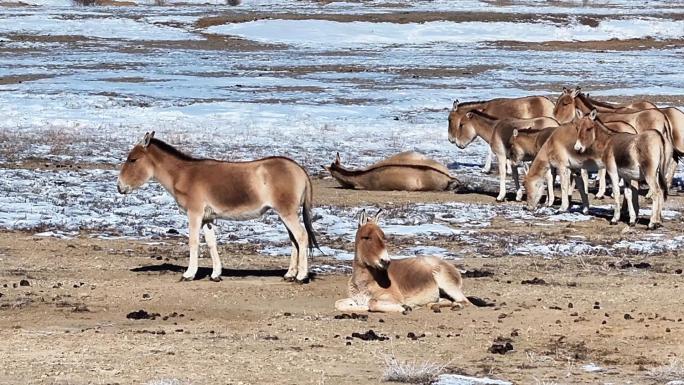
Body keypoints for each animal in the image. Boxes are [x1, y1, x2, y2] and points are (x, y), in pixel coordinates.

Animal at [117, 132, 318, 282]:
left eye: (133, 160)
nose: (119, 187)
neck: (183, 175)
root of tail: (300, 169)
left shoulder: (194, 213)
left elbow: (193, 242)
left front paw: (189, 274)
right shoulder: (208, 217)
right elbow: (211, 243)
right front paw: (215, 274)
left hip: (287, 212)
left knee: (301, 236)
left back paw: (301, 276)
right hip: (284, 213)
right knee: (294, 239)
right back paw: (289, 274)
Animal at [336, 210, 470, 312]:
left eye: (383, 237)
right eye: (366, 237)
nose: (385, 261)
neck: (365, 281)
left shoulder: (392, 297)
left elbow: (372, 303)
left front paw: (404, 307)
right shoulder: (355, 299)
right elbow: (338, 303)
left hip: (446, 283)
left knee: (464, 301)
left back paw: (456, 306)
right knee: (444, 300)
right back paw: (432, 305)